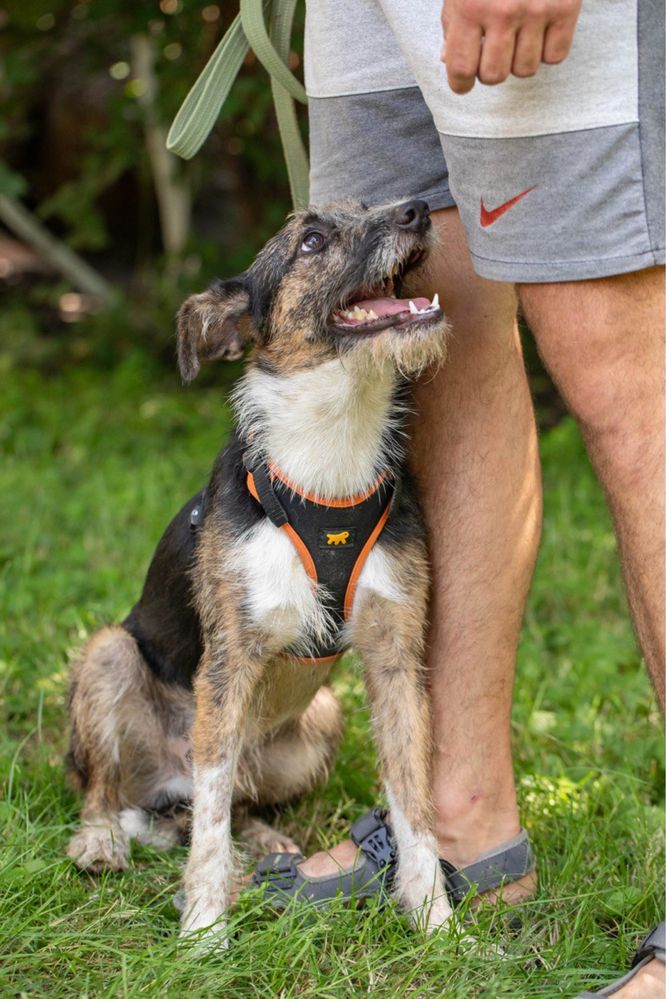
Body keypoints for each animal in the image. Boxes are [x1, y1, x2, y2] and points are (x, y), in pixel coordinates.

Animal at [66, 197, 452, 944]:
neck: (333, 447)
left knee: (235, 798)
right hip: (109, 655)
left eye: (372, 205)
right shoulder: (230, 661)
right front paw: (204, 927)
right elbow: (212, 809)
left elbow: (415, 797)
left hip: (322, 721)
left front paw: (437, 921)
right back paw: (101, 840)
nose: (419, 209)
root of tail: (162, 789)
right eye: (312, 240)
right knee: (124, 791)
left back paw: (269, 841)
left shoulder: (396, 657)